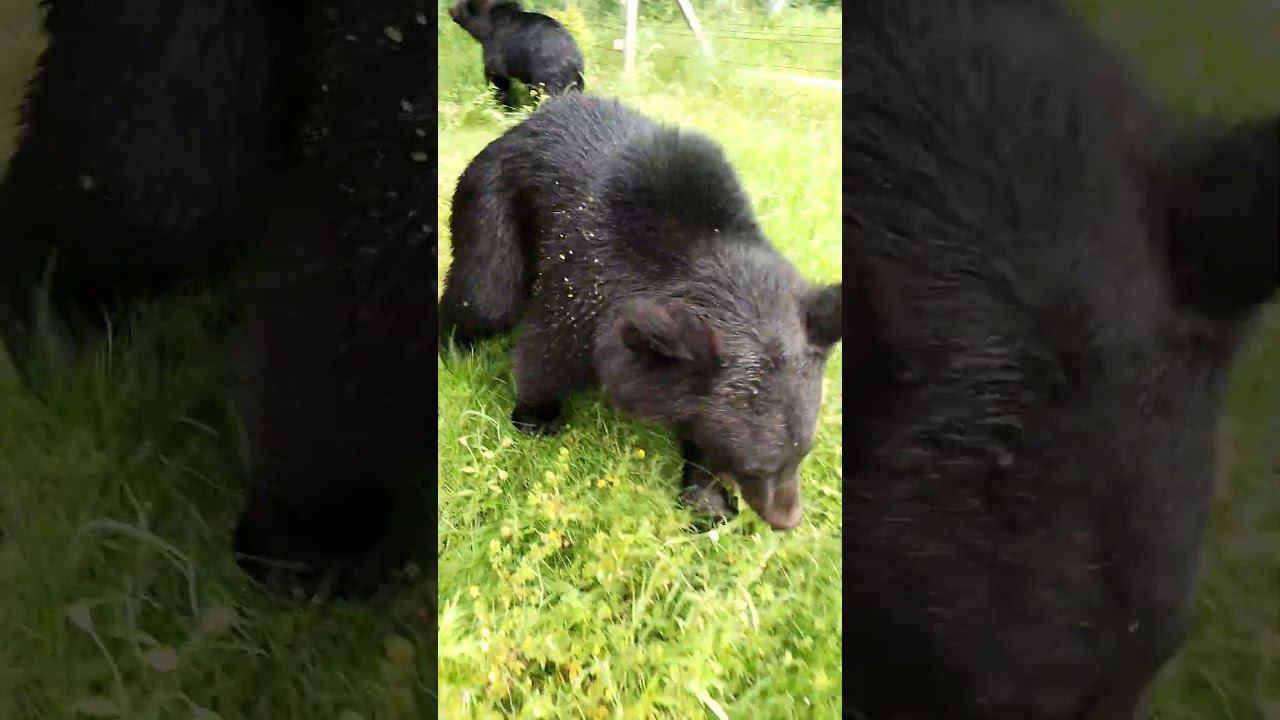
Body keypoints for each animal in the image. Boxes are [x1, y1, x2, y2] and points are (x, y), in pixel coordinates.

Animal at [439, 93, 842, 532]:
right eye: (757, 467)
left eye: (802, 453)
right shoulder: (586, 278)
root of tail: (521, 124)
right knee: (486, 294)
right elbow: (546, 348)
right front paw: (538, 418)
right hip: (491, 203)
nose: (787, 519)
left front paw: (708, 497)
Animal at [447, 0, 585, 110]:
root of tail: (574, 63)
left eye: (461, 2)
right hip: (577, 82)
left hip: (547, 73)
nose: (450, 9)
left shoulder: (497, 48)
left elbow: (497, 77)